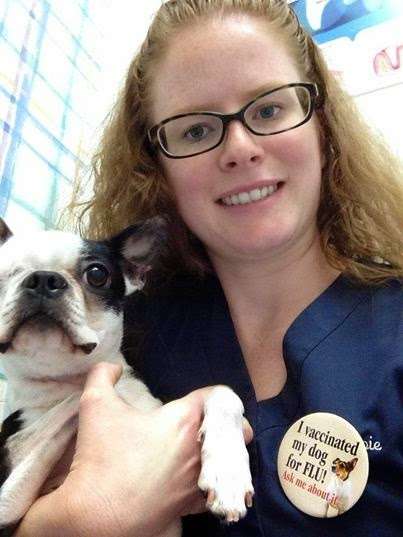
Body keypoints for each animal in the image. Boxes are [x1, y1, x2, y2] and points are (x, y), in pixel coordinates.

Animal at [0, 217, 254, 536]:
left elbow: (220, 390)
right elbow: (60, 415)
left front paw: (228, 474)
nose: (44, 278)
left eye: (97, 274)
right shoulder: (7, 494)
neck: (63, 378)